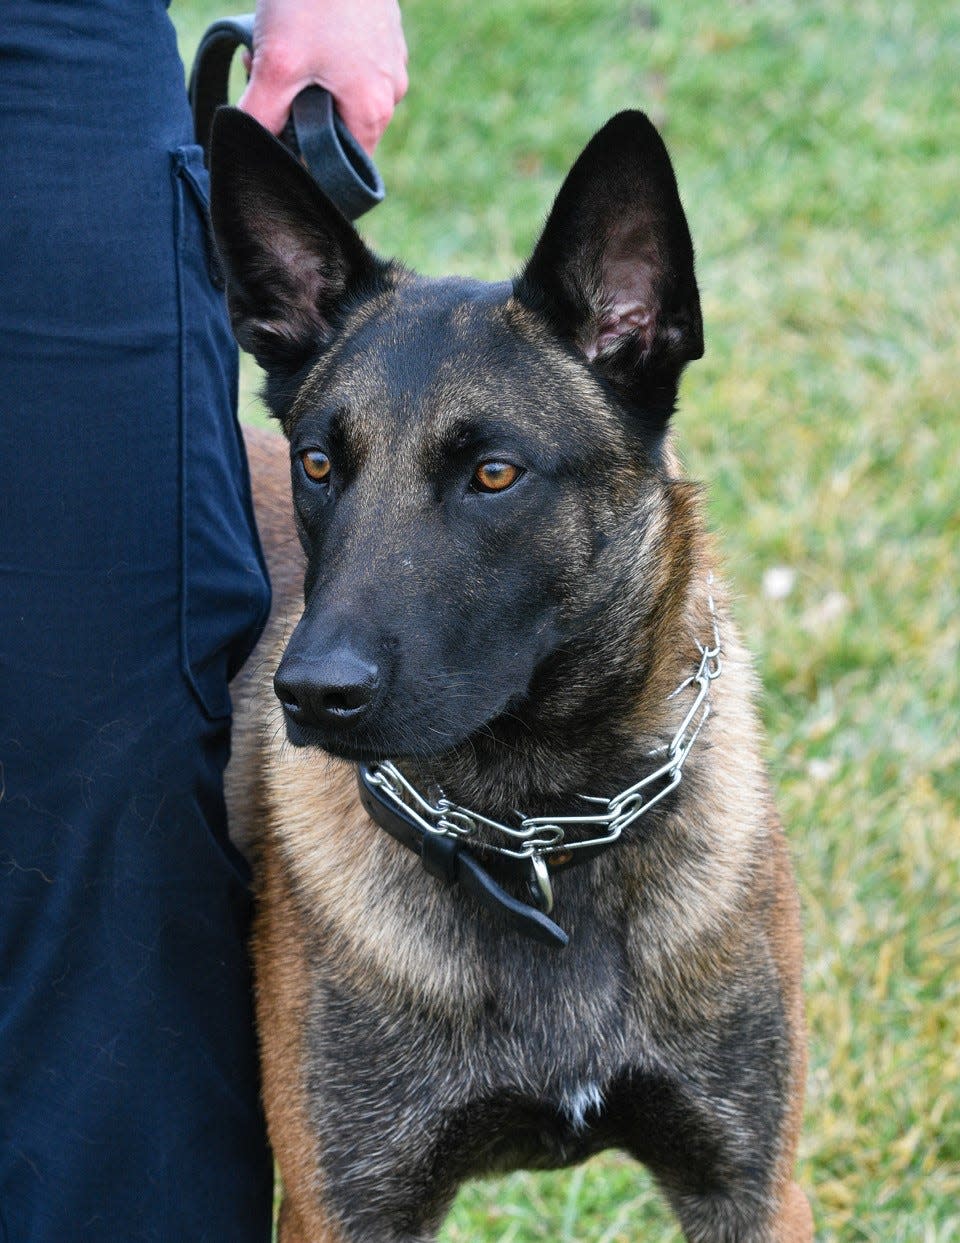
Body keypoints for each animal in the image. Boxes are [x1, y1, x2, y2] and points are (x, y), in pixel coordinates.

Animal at [210, 109, 810, 1243]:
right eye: (318, 463)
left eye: (494, 473)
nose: (310, 694)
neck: (537, 833)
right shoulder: (342, 1207)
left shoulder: (753, 1188)